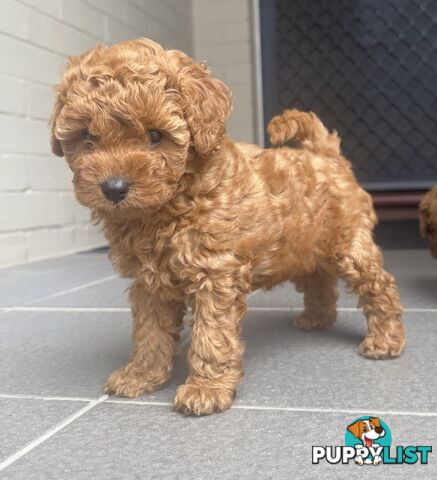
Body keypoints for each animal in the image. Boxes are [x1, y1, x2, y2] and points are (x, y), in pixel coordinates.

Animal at [51, 38, 406, 416]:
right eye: (88, 136)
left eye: (155, 135)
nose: (114, 188)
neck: (168, 205)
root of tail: (325, 155)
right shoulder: (150, 281)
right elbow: (150, 330)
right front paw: (141, 374)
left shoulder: (215, 272)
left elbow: (212, 334)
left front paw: (206, 390)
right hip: (303, 244)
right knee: (317, 277)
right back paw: (316, 318)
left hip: (348, 244)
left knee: (380, 286)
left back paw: (385, 340)